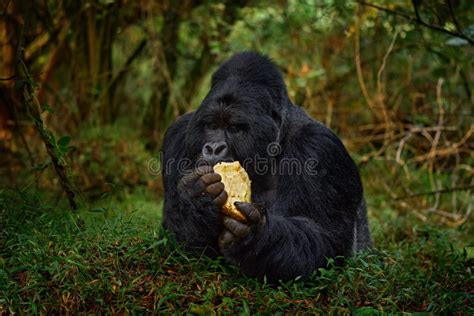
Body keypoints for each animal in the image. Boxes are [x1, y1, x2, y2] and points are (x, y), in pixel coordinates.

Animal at [161, 51, 372, 282]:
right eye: (211, 125)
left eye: (234, 128)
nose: (214, 148)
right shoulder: (178, 135)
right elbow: (179, 245)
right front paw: (196, 198)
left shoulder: (320, 148)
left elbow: (325, 239)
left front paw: (255, 236)